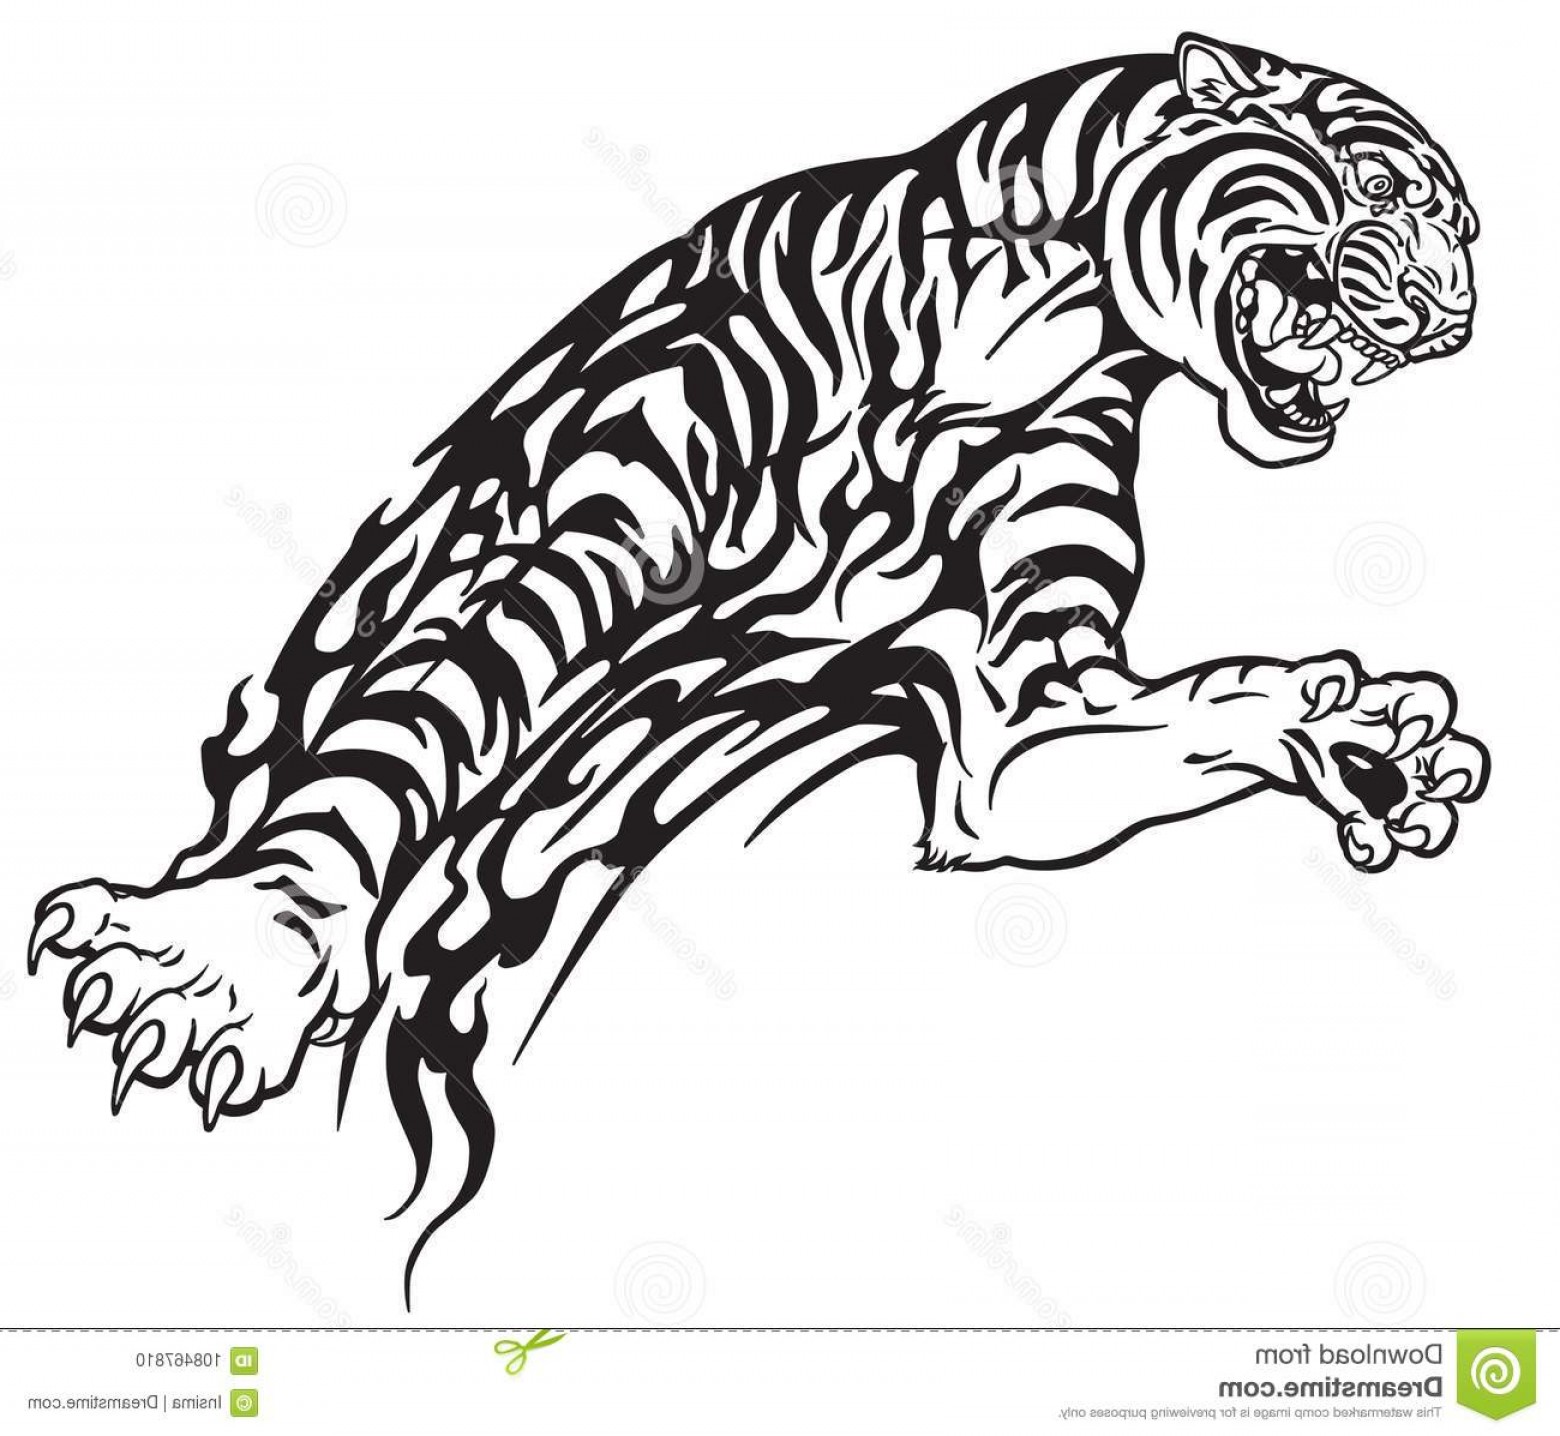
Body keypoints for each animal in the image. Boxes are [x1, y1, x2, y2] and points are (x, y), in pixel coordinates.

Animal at [29, 33, 1486, 1298]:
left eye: (1464, 231)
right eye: (1383, 192)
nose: (1456, 318)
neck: (1046, 318)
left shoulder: (1026, 710)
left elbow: (1132, 728)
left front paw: (1360, 749)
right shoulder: (583, 545)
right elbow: (403, 738)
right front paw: (225, 956)